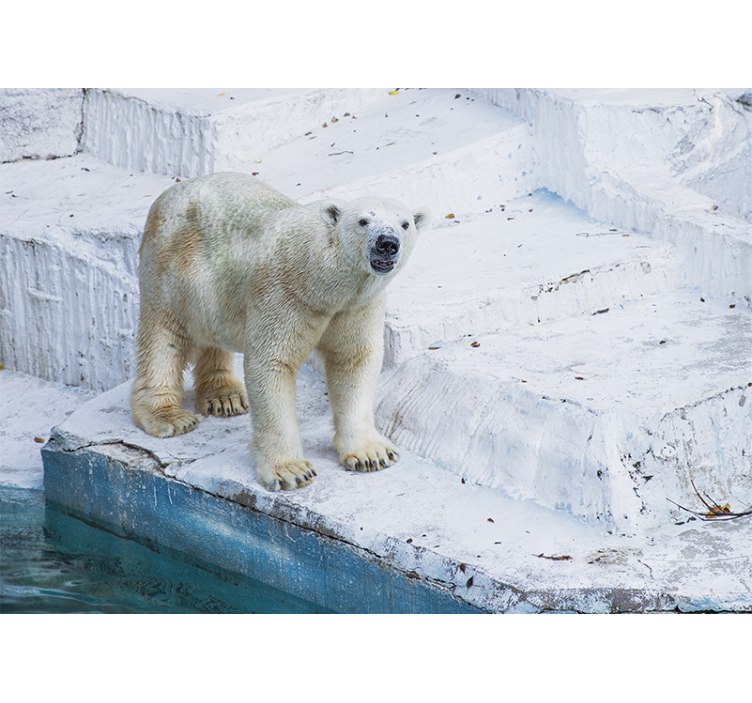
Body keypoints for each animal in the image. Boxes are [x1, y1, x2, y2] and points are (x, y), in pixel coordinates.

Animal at [130, 172, 430, 491]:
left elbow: (354, 359)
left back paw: (224, 397)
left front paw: (371, 454)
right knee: (163, 337)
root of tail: (172, 190)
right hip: (170, 265)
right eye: (363, 221)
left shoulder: (357, 305)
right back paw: (169, 416)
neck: (321, 280)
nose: (387, 243)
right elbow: (272, 364)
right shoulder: (285, 295)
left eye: (405, 223)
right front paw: (291, 470)